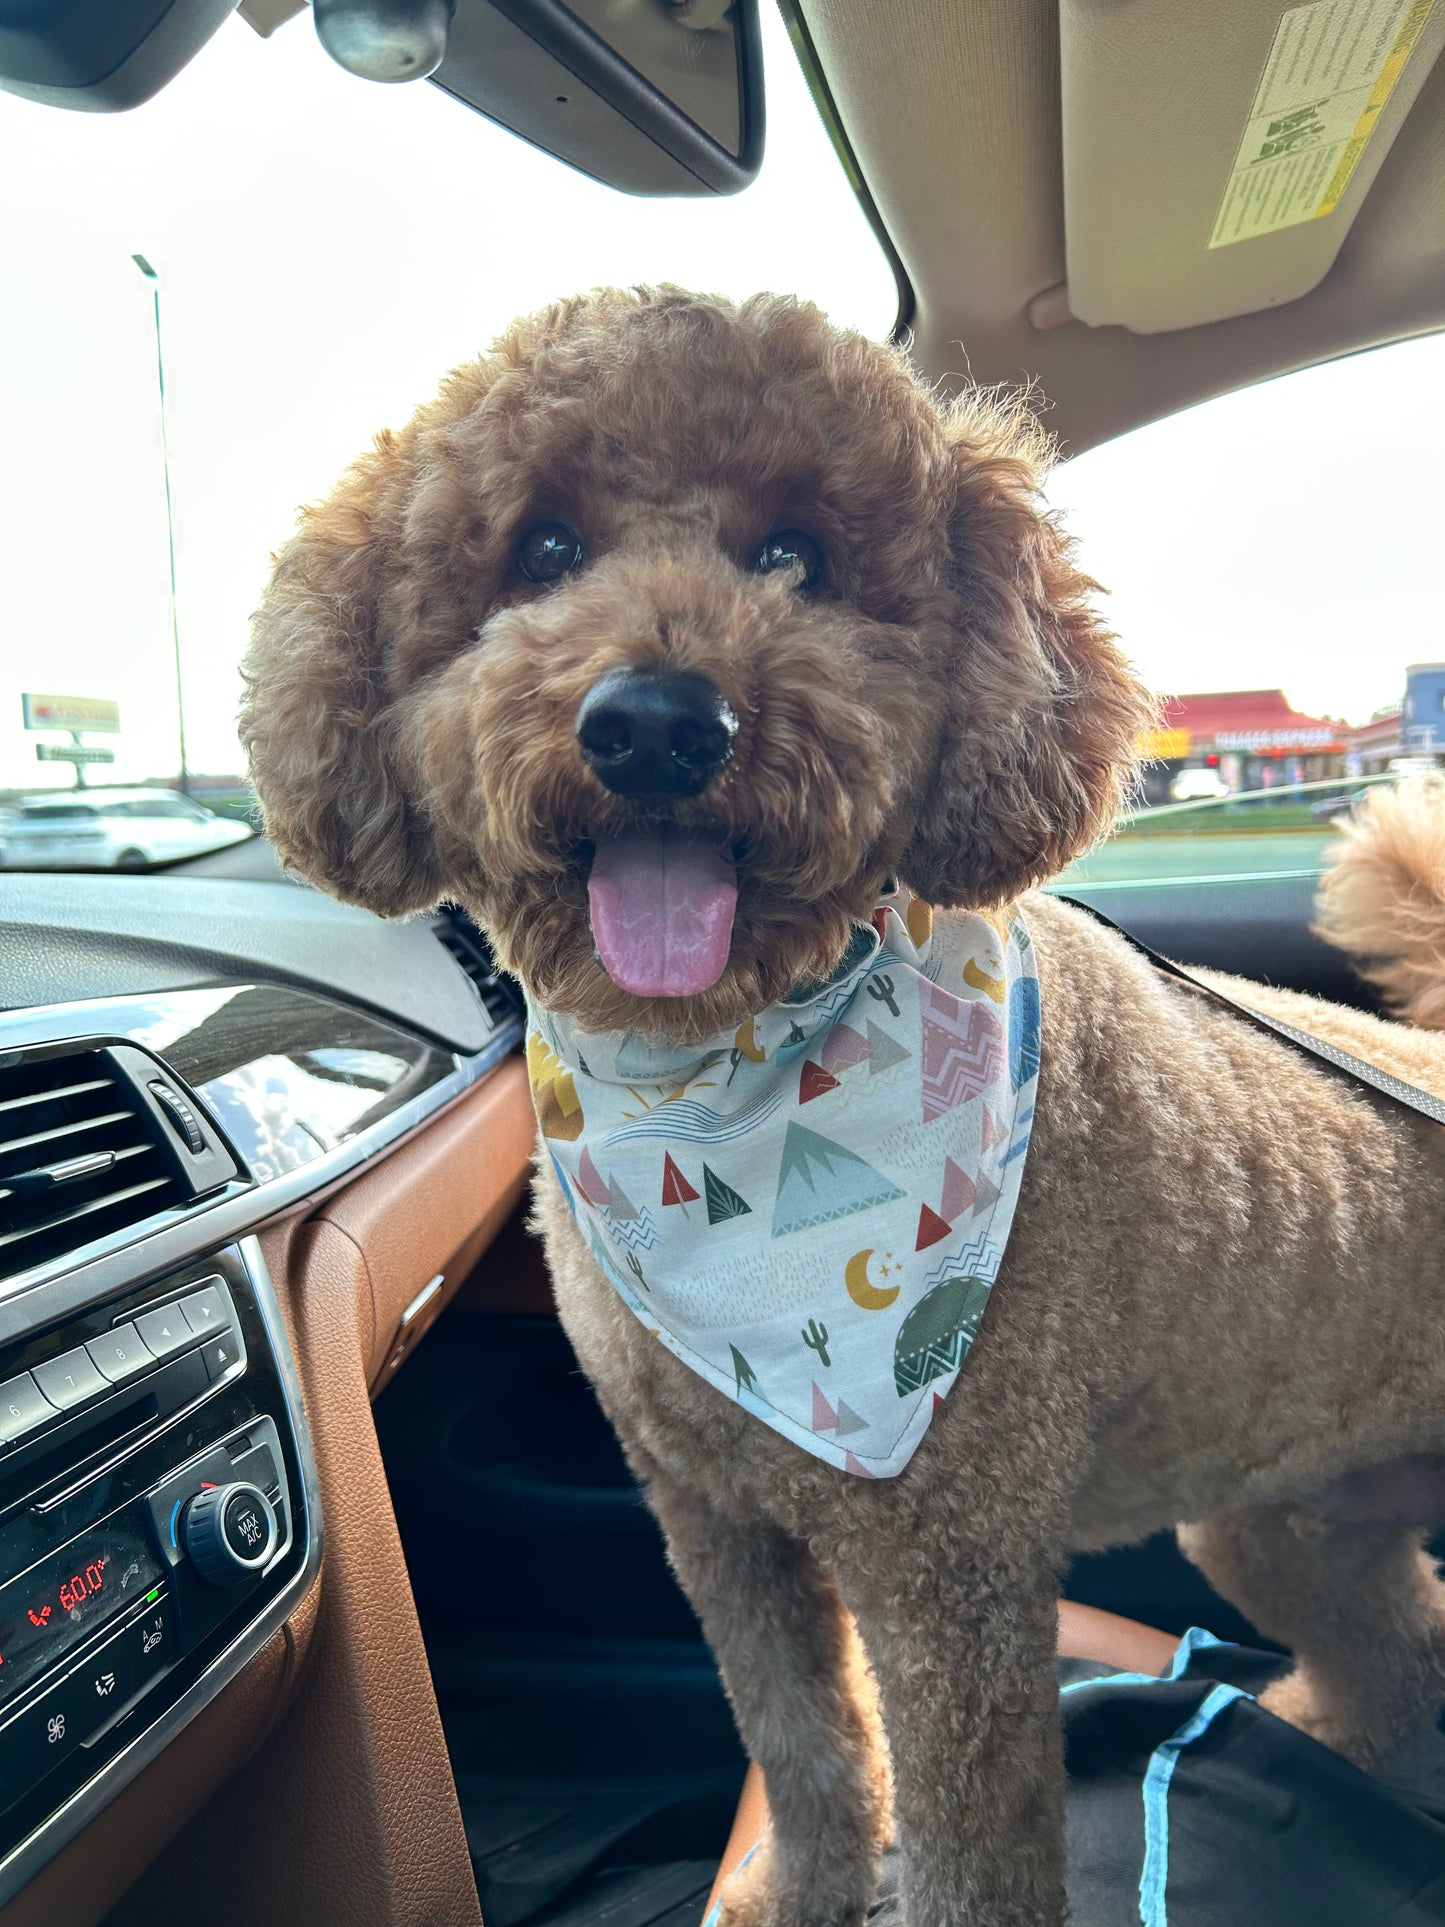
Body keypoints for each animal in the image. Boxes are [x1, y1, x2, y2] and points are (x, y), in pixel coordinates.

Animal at [243, 289, 1445, 1927]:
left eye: (796, 553)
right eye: (542, 546)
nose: (658, 722)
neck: (722, 1081)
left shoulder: (949, 1572)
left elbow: (965, 1842)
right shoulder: (713, 1516)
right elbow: (800, 1738)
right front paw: (799, 1891)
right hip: (1291, 1506)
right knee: (1394, 1649)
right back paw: (1313, 1728)